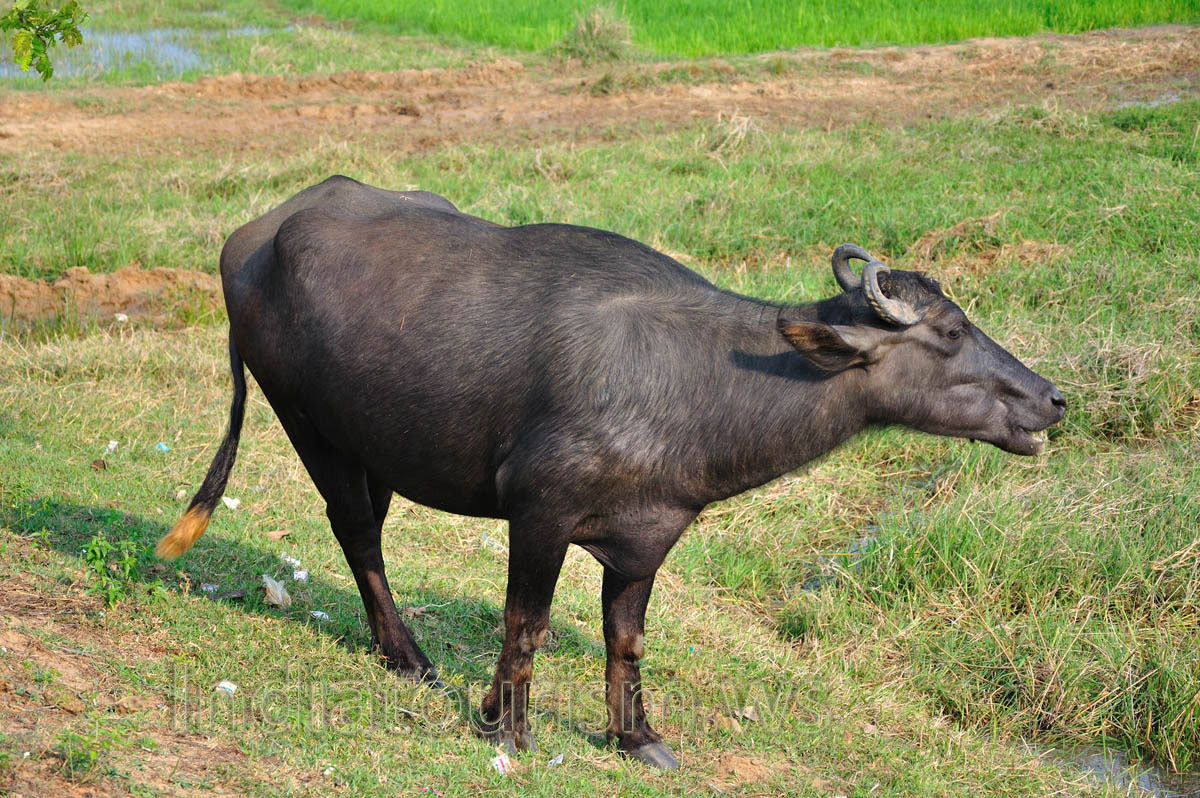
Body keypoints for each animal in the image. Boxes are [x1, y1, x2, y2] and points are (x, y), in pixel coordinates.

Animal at [157, 176, 1065, 769]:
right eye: (950, 333)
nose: (1051, 399)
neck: (696, 378)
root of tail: (252, 237)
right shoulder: (540, 514)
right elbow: (524, 624)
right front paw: (506, 729)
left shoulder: (646, 535)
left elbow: (625, 641)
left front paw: (638, 738)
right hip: (310, 426)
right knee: (357, 534)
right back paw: (409, 656)